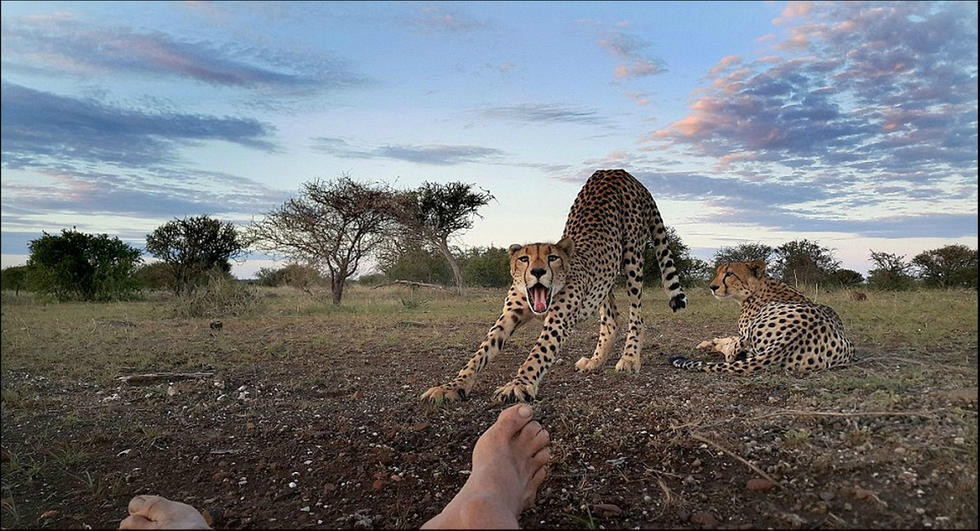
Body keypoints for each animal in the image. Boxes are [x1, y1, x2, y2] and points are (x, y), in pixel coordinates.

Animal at [422, 170, 688, 404]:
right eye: (524, 259)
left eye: (552, 258)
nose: (538, 272)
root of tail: (618, 171)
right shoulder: (509, 315)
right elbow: (481, 352)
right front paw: (452, 386)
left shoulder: (558, 320)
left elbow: (539, 353)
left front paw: (519, 385)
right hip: (607, 276)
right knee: (611, 318)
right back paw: (596, 361)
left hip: (633, 256)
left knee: (636, 315)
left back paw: (630, 358)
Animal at [668, 262, 852, 374]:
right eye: (718, 273)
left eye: (729, 274)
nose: (712, 287)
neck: (758, 288)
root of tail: (795, 333)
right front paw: (709, 343)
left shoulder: (744, 333)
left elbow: (732, 344)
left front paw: (711, 344)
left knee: (732, 354)